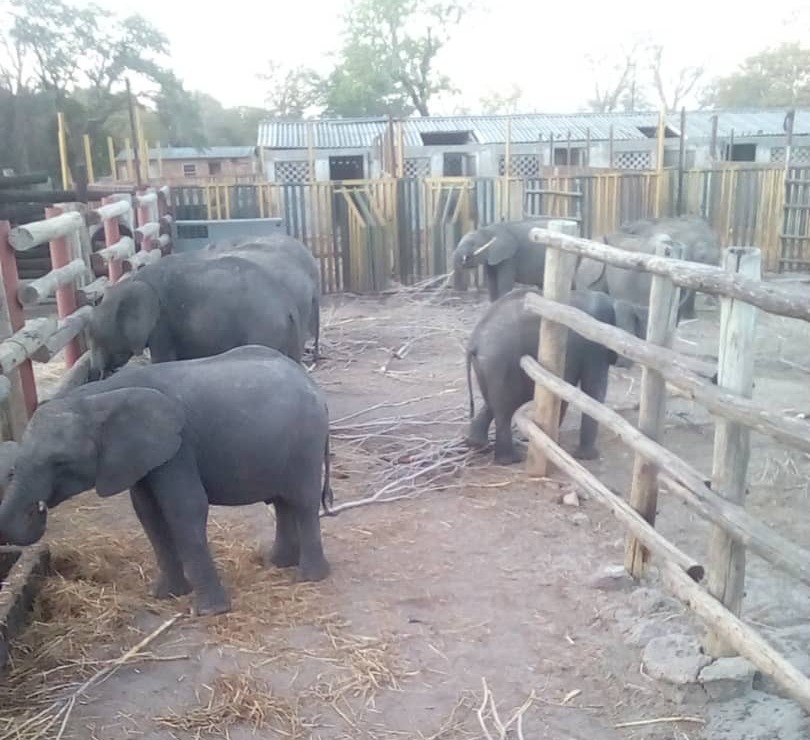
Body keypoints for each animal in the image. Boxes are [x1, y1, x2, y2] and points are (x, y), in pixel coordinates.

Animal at [0, 346, 332, 620]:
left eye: (60, 463)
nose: (39, 508)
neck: (97, 397)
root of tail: (310, 381)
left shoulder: (177, 448)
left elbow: (183, 509)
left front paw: (208, 612)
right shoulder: (140, 458)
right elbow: (148, 513)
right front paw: (163, 595)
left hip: (306, 442)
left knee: (302, 501)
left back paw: (309, 577)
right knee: (283, 501)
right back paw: (277, 563)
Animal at [87, 250, 304, 378]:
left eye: (96, 336)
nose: (98, 374)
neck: (130, 282)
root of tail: (288, 307)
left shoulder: (162, 325)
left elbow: (163, 359)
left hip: (264, 330)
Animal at [460, 288, 624, 466]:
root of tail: (474, 341)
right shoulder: (594, 344)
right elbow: (592, 388)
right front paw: (585, 456)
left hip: (486, 364)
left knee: (493, 402)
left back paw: (478, 445)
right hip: (499, 361)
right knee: (505, 408)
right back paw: (510, 460)